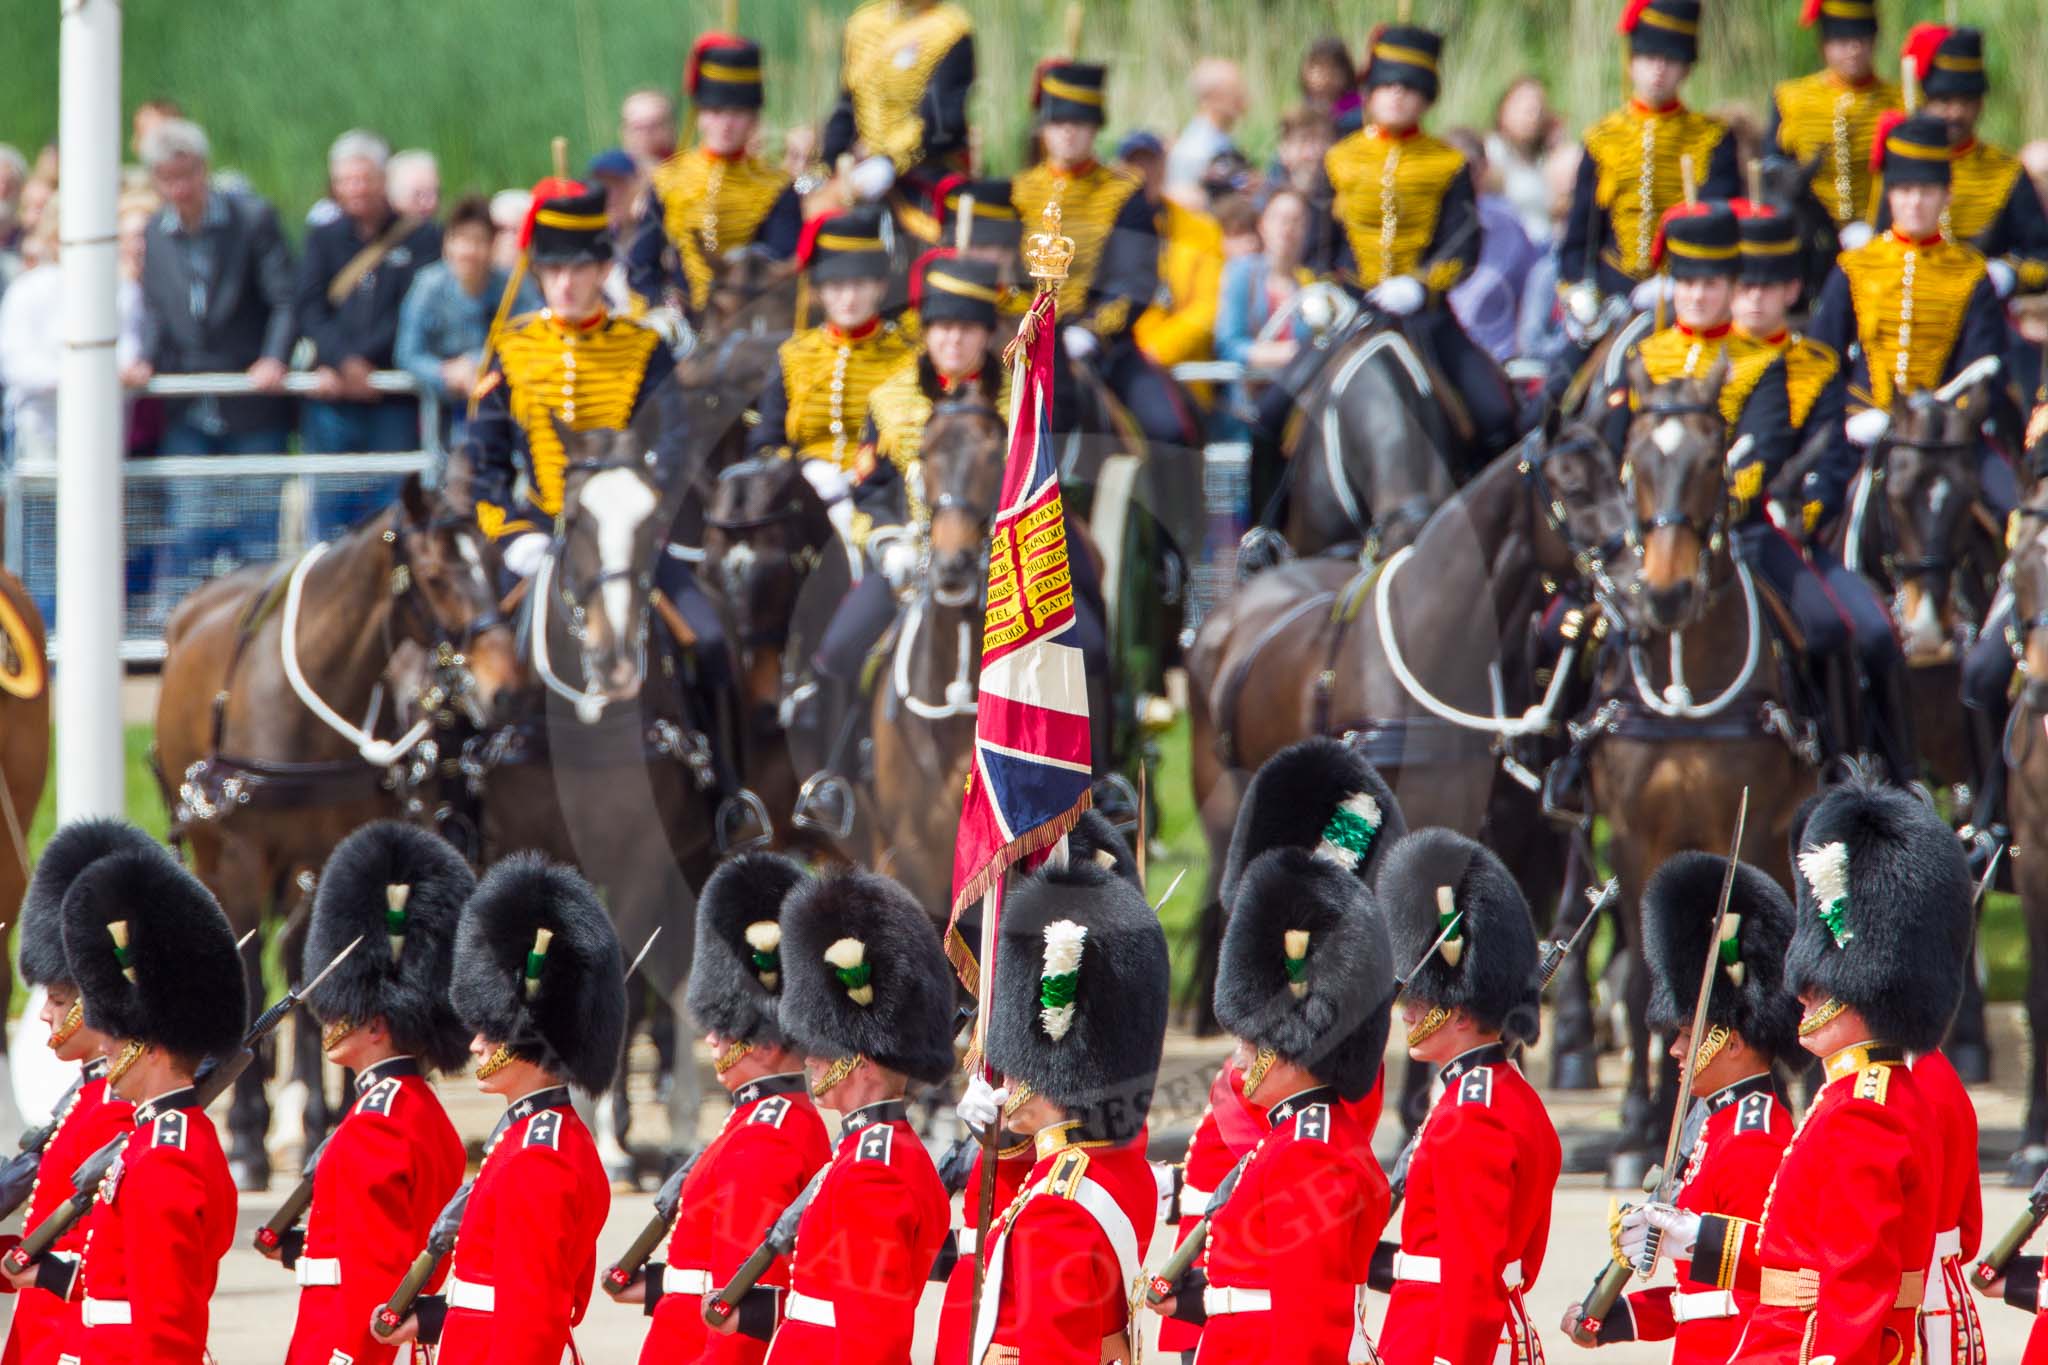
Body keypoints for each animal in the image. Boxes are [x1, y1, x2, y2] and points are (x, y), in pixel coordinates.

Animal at [154, 466, 516, 1186]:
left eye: (493, 565)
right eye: (434, 576)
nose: (503, 688)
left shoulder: (331, 851)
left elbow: (324, 964)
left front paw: (334, 1112)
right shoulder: (243, 856)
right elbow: (255, 971)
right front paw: (247, 1131)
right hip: (212, 850)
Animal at [1589, 362, 1818, 1186]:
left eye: (1712, 460)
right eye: (1633, 463)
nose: (1663, 595)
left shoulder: (1744, 834)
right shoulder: (1631, 840)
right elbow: (1638, 973)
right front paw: (1639, 1123)